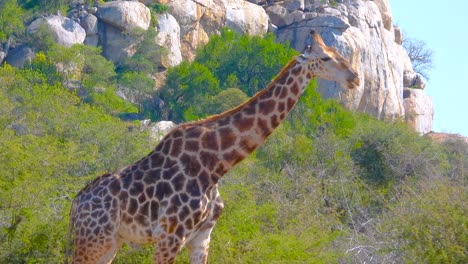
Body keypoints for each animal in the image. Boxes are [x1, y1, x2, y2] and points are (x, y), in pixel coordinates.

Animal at [68, 29, 362, 262]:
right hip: (94, 239)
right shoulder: (171, 236)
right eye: (325, 58)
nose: (355, 78)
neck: (217, 164)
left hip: (110, 242)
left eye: (340, 53)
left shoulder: (202, 236)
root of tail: (75, 204)